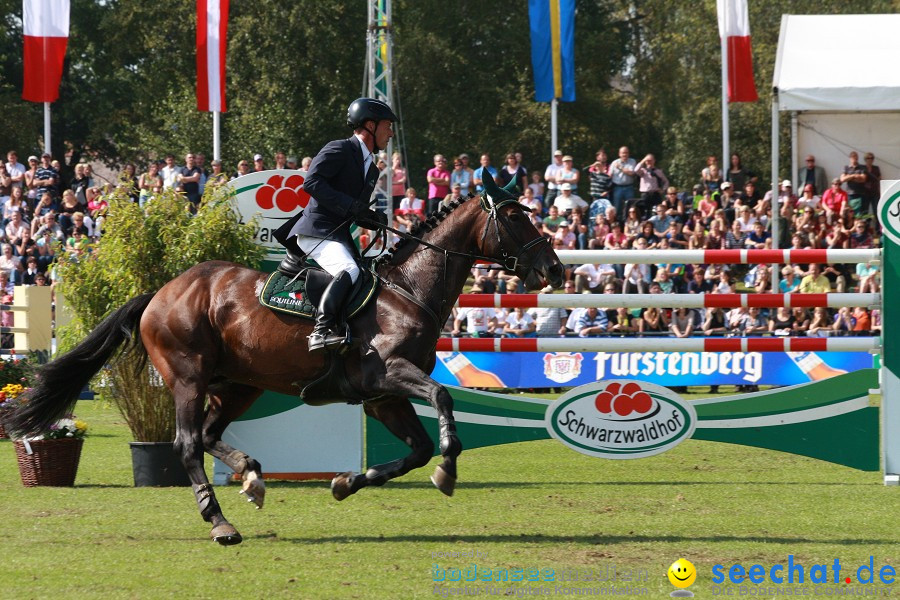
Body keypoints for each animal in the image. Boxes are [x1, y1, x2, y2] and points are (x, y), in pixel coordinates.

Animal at [8, 173, 564, 544]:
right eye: (514, 216)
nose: (555, 270)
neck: (407, 291)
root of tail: (161, 292)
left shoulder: (381, 397)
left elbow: (417, 449)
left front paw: (346, 483)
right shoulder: (391, 375)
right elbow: (444, 400)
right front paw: (449, 466)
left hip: (239, 384)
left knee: (208, 435)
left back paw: (252, 477)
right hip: (188, 378)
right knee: (187, 444)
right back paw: (221, 523)